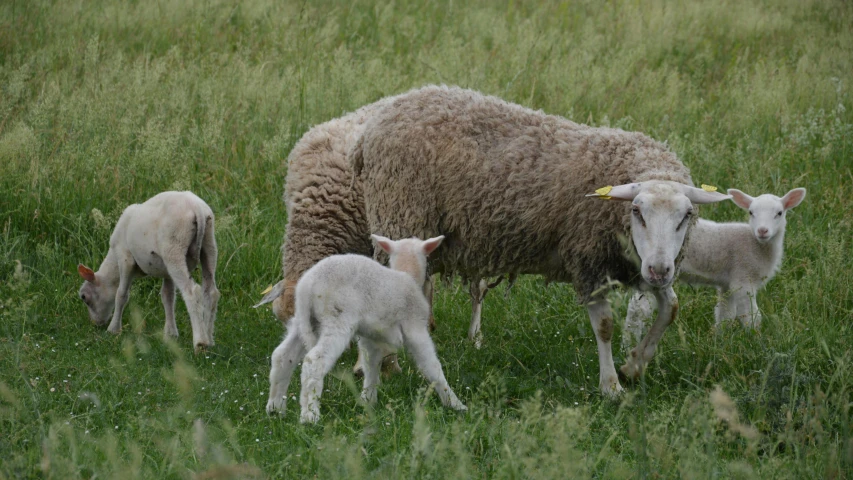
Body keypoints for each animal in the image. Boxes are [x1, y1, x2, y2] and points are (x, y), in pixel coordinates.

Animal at [75, 191, 220, 352]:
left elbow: (121, 294)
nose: (95, 323)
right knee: (211, 291)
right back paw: (209, 339)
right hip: (209, 244)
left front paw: (113, 329)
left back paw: (200, 342)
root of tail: (196, 208)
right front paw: (170, 334)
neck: (113, 262)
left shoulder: (125, 258)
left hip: (174, 249)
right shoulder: (166, 271)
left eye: (84, 297)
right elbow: (168, 297)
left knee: (192, 292)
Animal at [264, 234, 466, 422]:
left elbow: (371, 365)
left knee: (282, 356)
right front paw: (454, 403)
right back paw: (309, 416)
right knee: (314, 362)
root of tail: (306, 288)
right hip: (336, 319)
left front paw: (368, 400)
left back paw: (275, 408)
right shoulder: (414, 327)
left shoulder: (371, 337)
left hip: (304, 321)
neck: (406, 273)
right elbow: (431, 365)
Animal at [350, 86, 728, 398]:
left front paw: (634, 365)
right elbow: (605, 326)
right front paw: (611, 386)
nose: (660, 270)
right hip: (400, 219)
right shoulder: (588, 261)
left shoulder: (636, 264)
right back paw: (381, 365)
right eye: (637, 211)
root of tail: (371, 127)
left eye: (686, 216)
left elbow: (671, 308)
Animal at [624, 186, 804, 346]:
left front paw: (720, 342)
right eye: (751, 212)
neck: (756, 244)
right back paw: (629, 345)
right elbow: (751, 316)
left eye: (779, 213)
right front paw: (757, 343)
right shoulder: (744, 278)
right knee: (638, 309)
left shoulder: (728, 284)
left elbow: (725, 315)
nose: (762, 231)